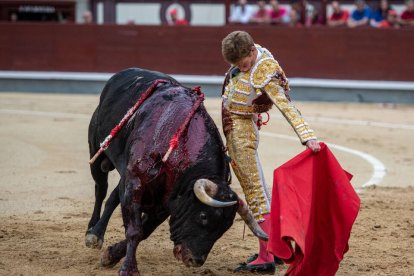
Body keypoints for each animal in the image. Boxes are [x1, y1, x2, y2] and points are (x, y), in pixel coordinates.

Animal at [86, 68, 268, 274]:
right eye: (203, 216)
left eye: (225, 227)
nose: (194, 260)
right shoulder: (135, 184)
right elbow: (134, 230)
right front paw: (129, 269)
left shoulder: (165, 202)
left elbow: (144, 231)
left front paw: (110, 256)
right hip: (96, 151)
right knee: (101, 189)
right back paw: (93, 233)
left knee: (113, 196)